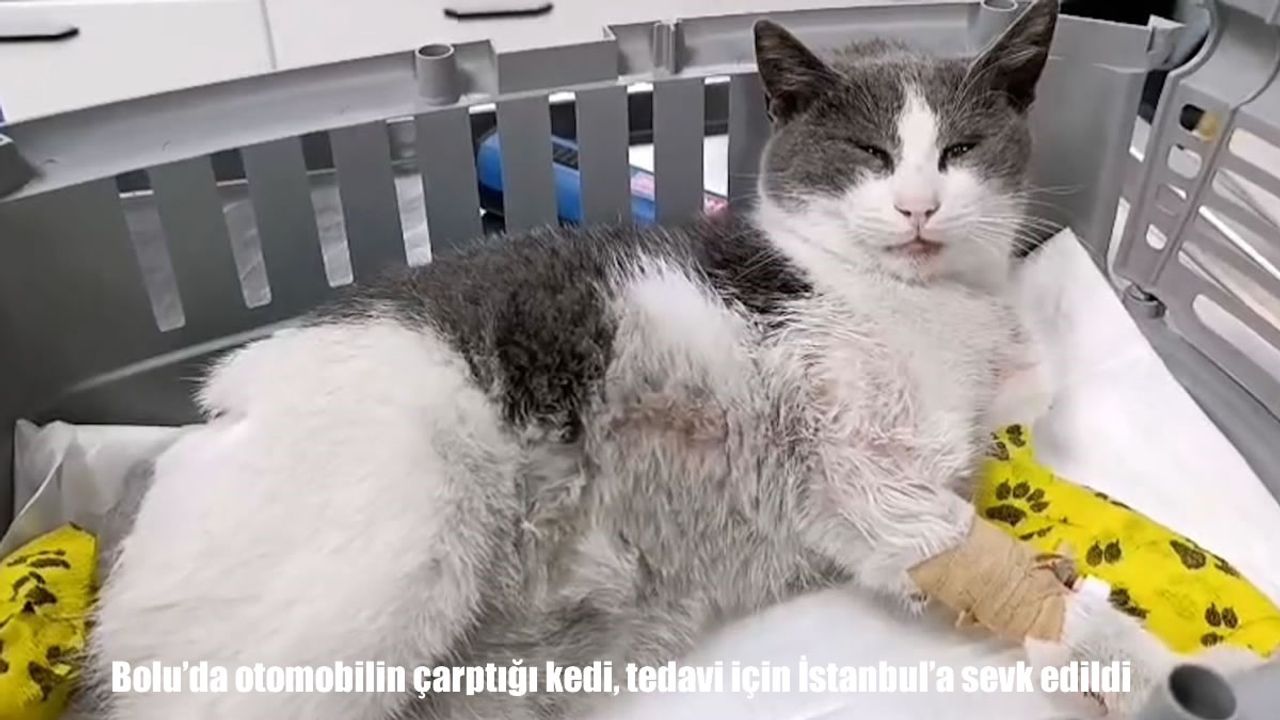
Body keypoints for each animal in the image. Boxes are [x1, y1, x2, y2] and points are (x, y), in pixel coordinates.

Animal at [86, 2, 1059, 719]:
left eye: (962, 150)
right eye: (869, 153)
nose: (920, 205)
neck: (932, 304)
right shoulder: (856, 465)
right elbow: (938, 534)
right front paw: (1075, 625)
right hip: (365, 584)